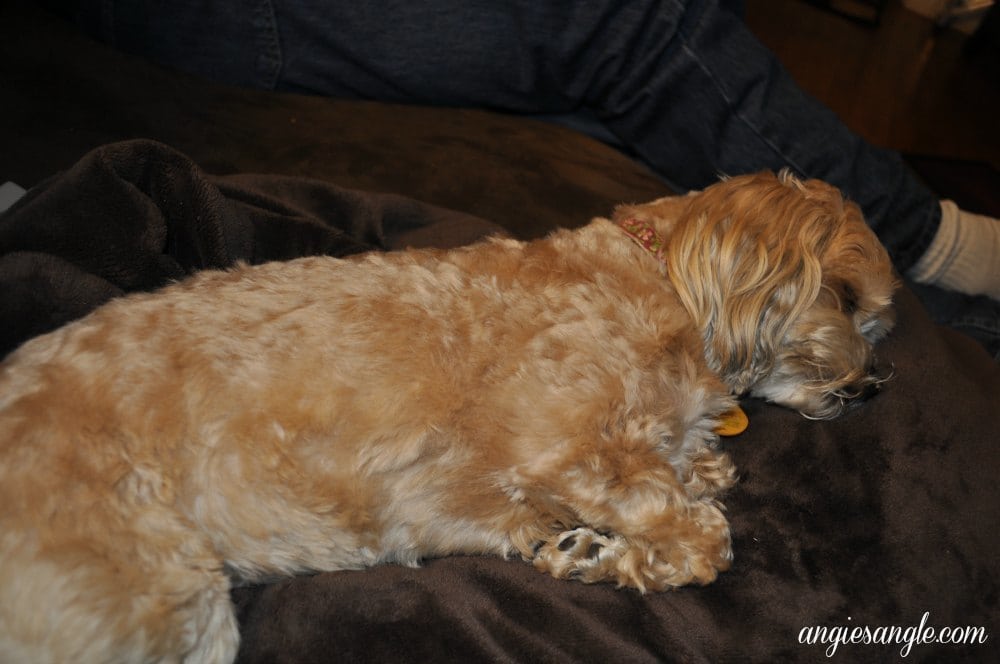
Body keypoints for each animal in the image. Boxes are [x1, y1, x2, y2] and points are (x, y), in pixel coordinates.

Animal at [0, 172, 896, 664]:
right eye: (846, 297)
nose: (872, 387)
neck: (657, 277)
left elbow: (699, 476)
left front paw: (598, 546)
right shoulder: (569, 450)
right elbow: (705, 537)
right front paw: (612, 553)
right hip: (167, 596)